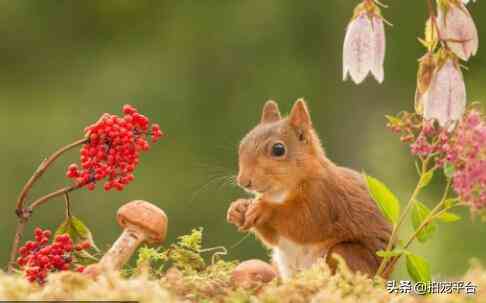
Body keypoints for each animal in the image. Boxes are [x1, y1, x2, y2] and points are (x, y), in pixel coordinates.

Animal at [227, 100, 392, 280]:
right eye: (242, 144)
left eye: (278, 149)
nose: (243, 181)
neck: (279, 192)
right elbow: (273, 238)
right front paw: (238, 208)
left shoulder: (323, 198)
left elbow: (303, 223)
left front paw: (265, 208)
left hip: (347, 254)